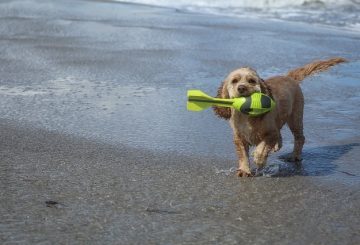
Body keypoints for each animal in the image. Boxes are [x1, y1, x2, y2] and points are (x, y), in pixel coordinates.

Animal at [214, 57, 346, 176]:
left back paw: (294, 156)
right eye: (234, 81)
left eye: (251, 81)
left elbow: (263, 146)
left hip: (295, 118)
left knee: (300, 138)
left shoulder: (271, 133)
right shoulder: (239, 137)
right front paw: (244, 170)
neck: (246, 115)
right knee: (282, 137)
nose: (241, 88)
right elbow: (243, 155)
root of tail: (289, 77)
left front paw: (259, 158)